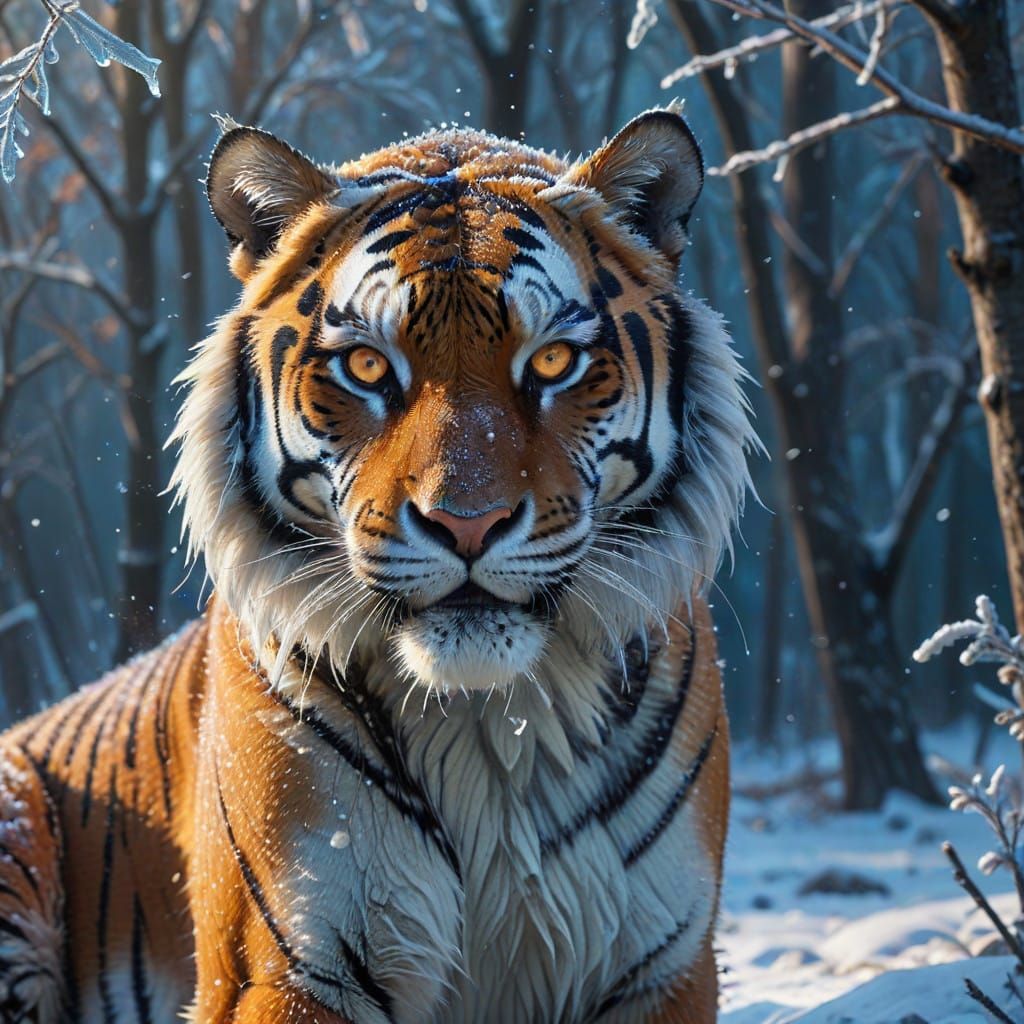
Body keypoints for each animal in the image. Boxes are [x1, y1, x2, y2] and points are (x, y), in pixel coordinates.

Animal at [0, 107, 755, 1023]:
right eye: (366, 366)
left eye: (551, 361)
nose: (467, 522)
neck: (489, 726)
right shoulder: (284, 966)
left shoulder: (664, 964)